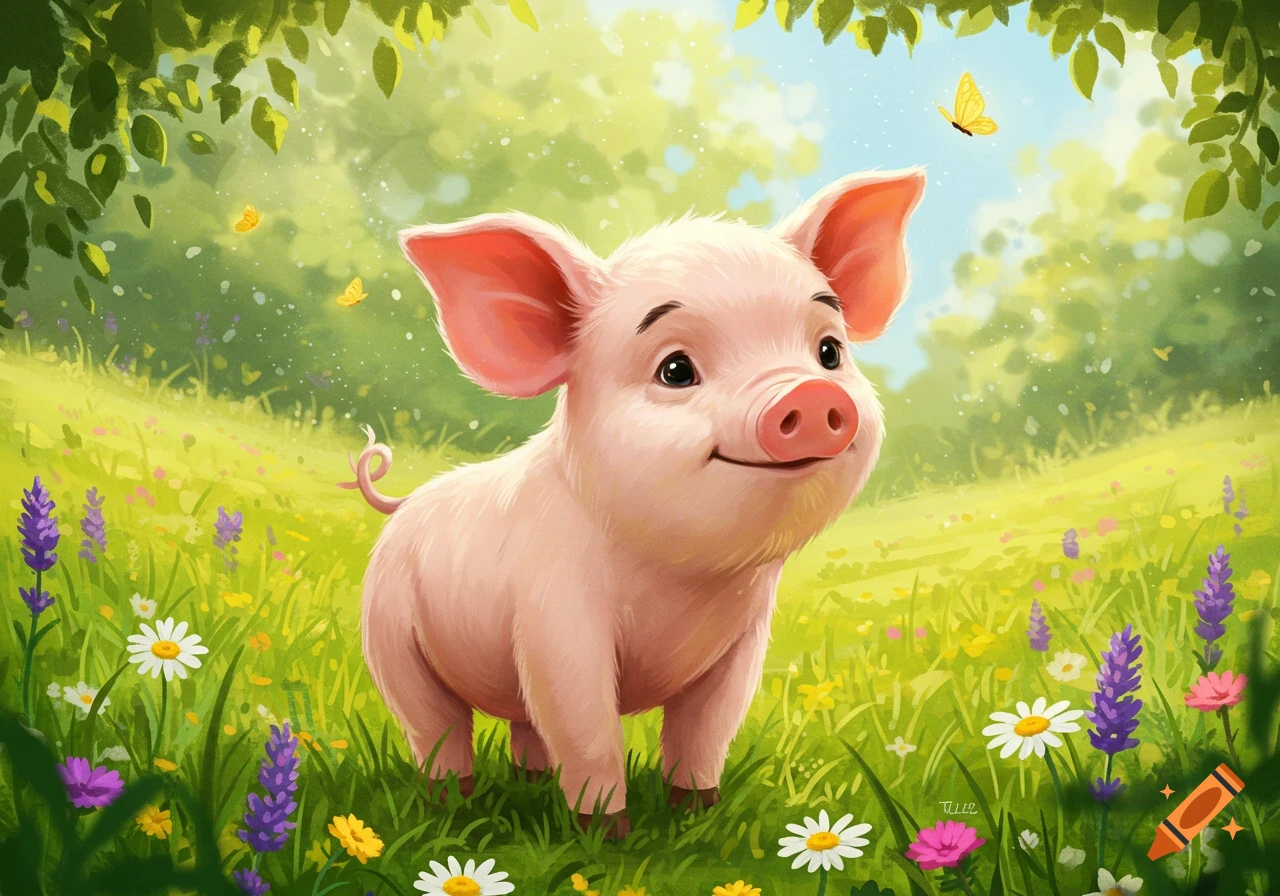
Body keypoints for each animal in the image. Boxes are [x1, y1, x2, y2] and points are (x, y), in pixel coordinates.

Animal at [342, 169, 924, 837]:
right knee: (437, 730)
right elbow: (590, 732)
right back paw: (452, 811)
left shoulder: (743, 644)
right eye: (675, 369)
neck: (684, 583)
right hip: (389, 637)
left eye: (829, 352)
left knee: (523, 725)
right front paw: (605, 839)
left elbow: (703, 733)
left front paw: (696, 818)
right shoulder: (555, 623)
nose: (807, 394)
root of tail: (403, 505)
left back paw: (529, 785)